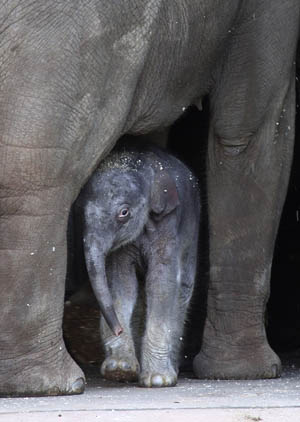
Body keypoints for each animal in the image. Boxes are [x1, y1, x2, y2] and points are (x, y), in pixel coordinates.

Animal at [76, 141, 200, 386]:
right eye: (81, 213)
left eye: (124, 213)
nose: (117, 330)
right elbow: (122, 283)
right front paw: (120, 370)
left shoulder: (168, 224)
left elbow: (161, 283)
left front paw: (158, 380)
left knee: (183, 290)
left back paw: (173, 368)